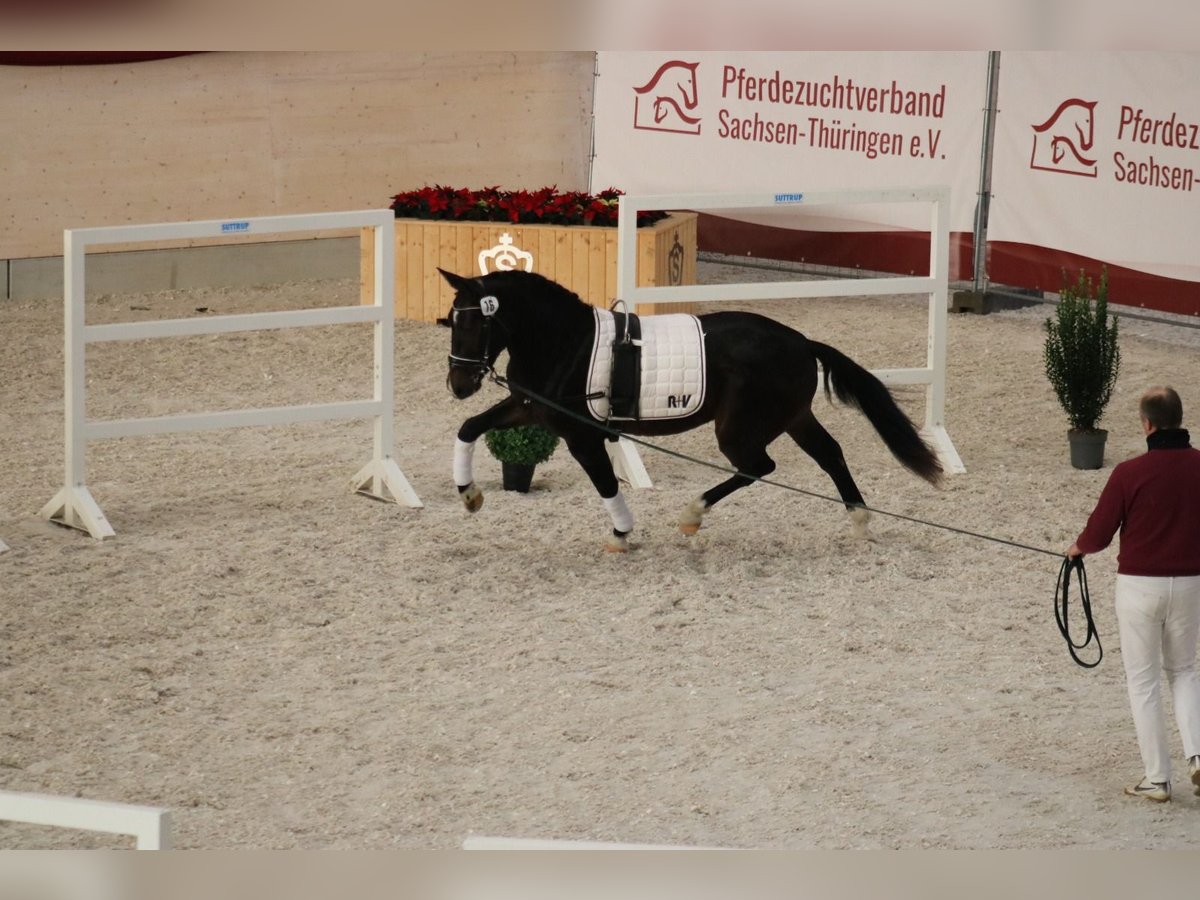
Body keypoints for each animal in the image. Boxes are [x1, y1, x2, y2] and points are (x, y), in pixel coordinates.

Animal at [439, 268, 943, 552]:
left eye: (476, 322)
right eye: (451, 320)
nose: (458, 384)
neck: (565, 342)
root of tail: (802, 342)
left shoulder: (582, 435)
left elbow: (605, 484)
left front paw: (621, 535)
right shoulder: (531, 410)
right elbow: (469, 427)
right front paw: (469, 495)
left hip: (739, 428)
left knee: (758, 465)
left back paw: (692, 515)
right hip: (794, 418)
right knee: (830, 455)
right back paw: (860, 522)